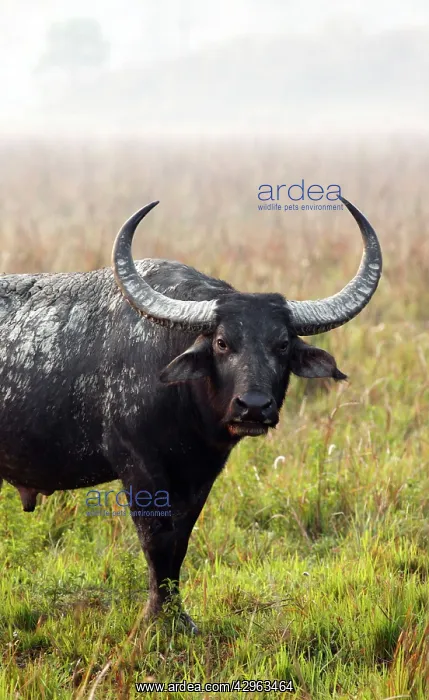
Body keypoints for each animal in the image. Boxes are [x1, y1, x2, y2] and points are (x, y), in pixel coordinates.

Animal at [0, 196, 382, 631]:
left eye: (282, 344)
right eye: (221, 342)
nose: (254, 406)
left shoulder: (201, 473)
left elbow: (180, 539)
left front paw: (179, 618)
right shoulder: (138, 467)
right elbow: (156, 539)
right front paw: (156, 619)